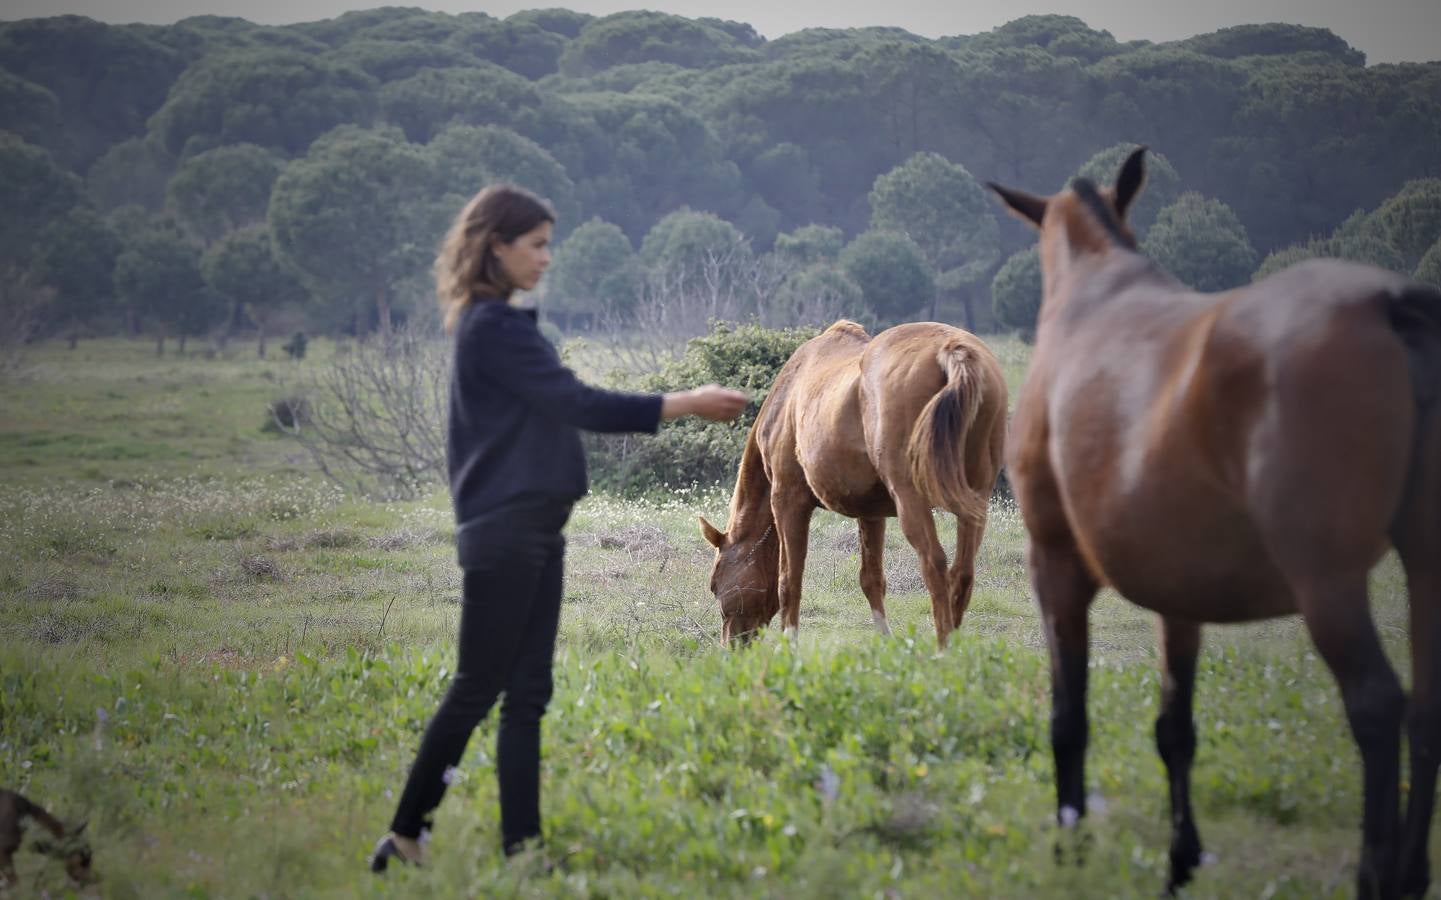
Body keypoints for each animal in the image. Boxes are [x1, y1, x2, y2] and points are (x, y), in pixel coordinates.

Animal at [703, 321, 1008, 645]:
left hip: (912, 500)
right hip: (974, 501)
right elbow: (871, 579)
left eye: (715, 584)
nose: (732, 645)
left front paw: (789, 646)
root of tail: (951, 350)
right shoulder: (871, 513)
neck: (788, 397)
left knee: (935, 564)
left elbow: (789, 581)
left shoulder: (787, 500)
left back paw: (943, 646)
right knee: (962, 572)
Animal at [991, 149, 1441, 898]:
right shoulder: (1179, 595)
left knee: (1376, 704)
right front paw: (1179, 860)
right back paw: (1408, 873)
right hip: (1426, 566)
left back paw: (1374, 872)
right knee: (1425, 707)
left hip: (1326, 579)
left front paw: (1070, 847)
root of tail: (1391, 306)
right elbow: (1175, 727)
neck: (1093, 291)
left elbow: (1067, 717)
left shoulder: (1054, 564)